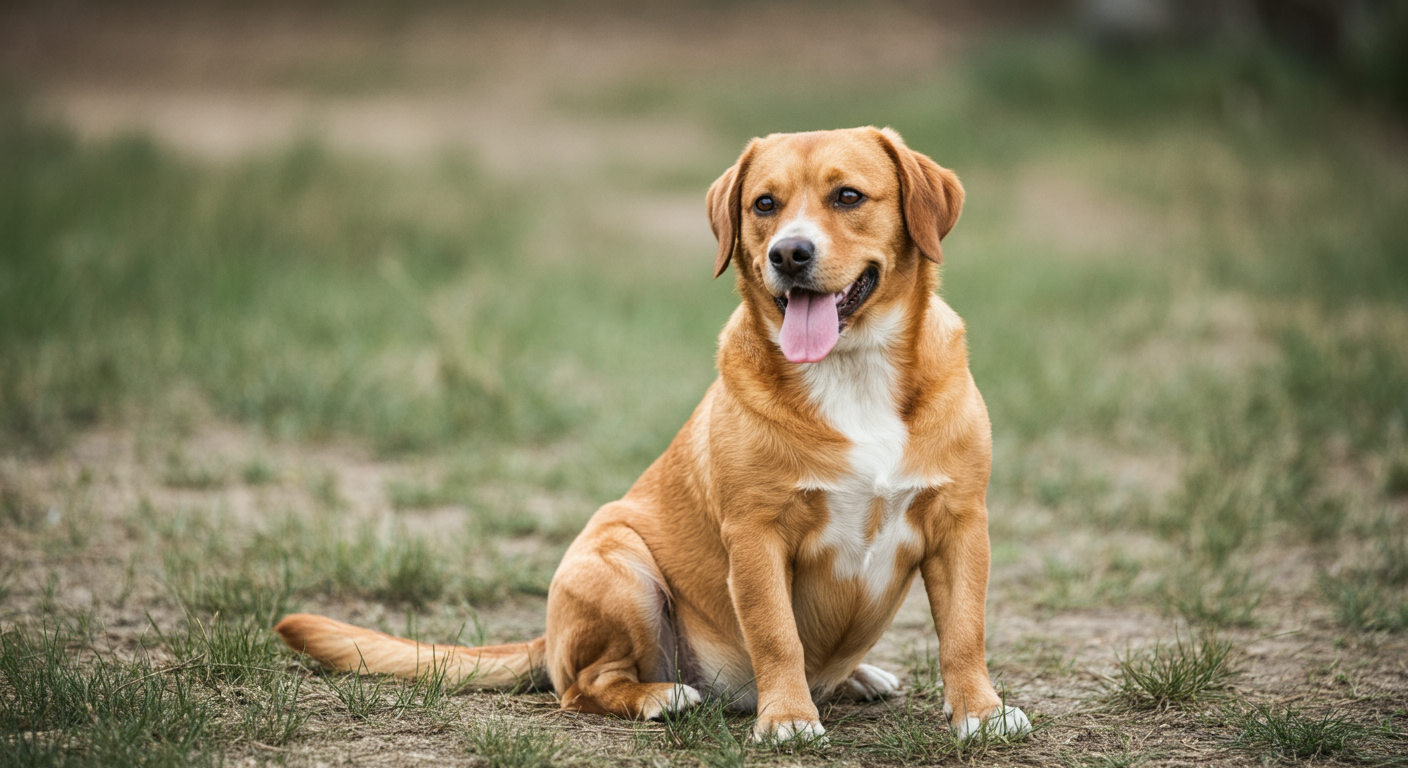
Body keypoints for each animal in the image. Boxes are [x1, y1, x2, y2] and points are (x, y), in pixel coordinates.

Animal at [277, 125, 1036, 744]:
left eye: (848, 196)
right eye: (764, 205)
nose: (789, 254)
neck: (852, 371)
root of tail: (546, 636)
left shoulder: (960, 523)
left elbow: (963, 634)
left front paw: (979, 711)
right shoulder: (757, 536)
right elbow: (778, 636)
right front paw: (788, 718)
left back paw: (855, 677)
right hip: (622, 566)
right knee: (584, 688)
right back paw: (661, 696)